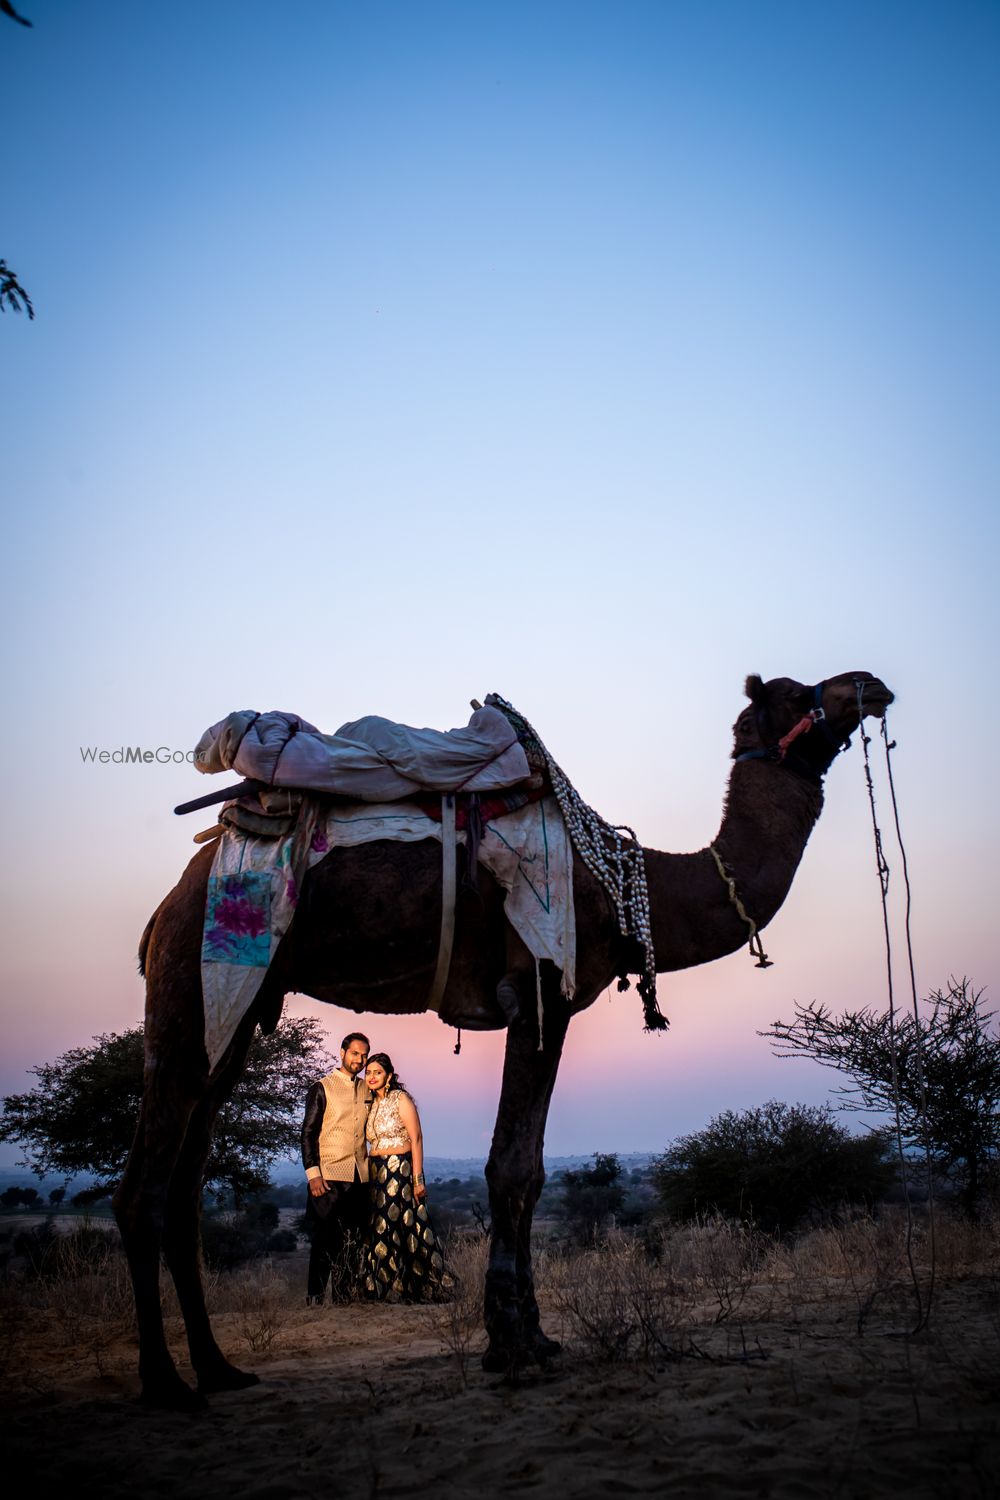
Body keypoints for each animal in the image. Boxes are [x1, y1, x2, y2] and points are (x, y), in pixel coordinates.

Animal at [115, 669, 893, 1404]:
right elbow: (512, 1168)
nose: (869, 685)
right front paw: (511, 1345)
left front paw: (539, 1337)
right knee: (144, 1186)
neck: (623, 886)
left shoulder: (552, 1007)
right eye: (793, 691)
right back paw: (165, 1384)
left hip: (237, 1017)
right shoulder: (542, 990)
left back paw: (219, 1370)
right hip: (194, 982)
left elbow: (533, 1171)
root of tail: (164, 908)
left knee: (187, 1183)